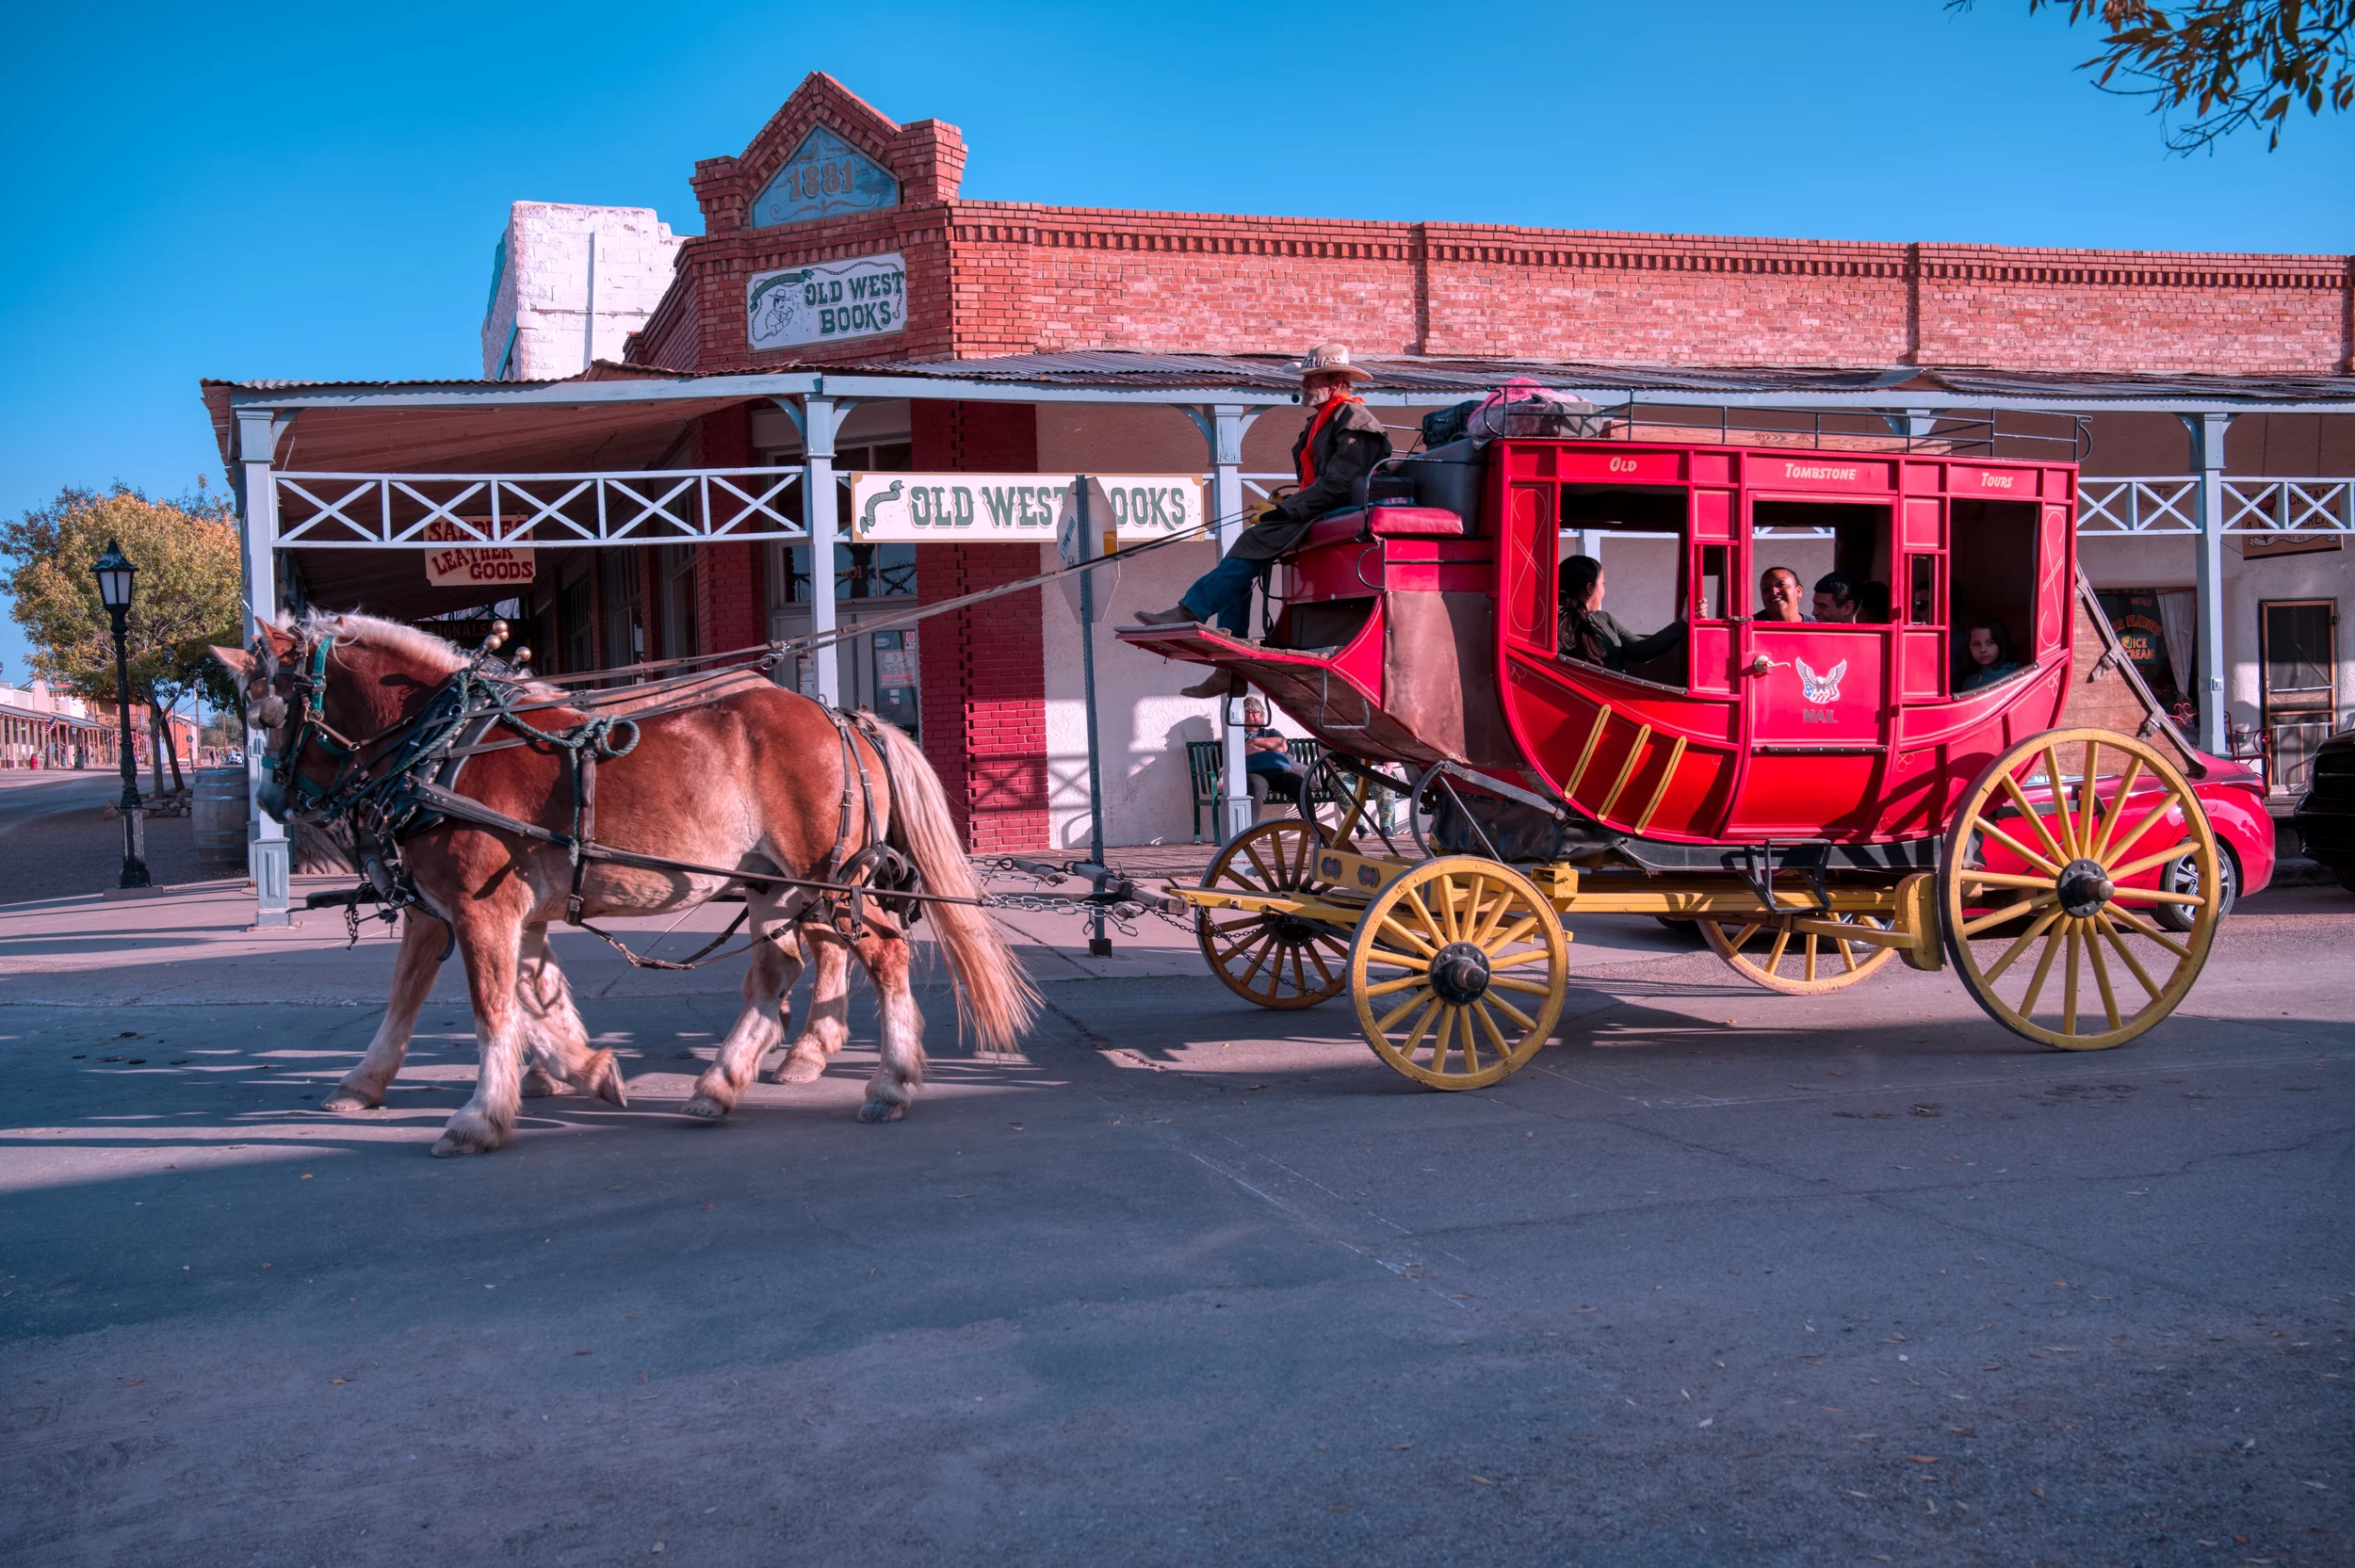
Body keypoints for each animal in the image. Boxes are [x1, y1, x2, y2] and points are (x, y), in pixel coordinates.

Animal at [209, 612, 1031, 1149]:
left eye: (270, 713)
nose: (272, 802)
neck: (443, 748)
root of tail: (841, 718)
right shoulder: (462, 911)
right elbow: (456, 998)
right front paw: (581, 1068)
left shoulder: (479, 908)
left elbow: (492, 1007)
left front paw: (482, 1115)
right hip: (774, 885)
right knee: (777, 969)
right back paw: (719, 1085)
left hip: (824, 880)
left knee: (882, 952)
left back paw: (889, 1082)